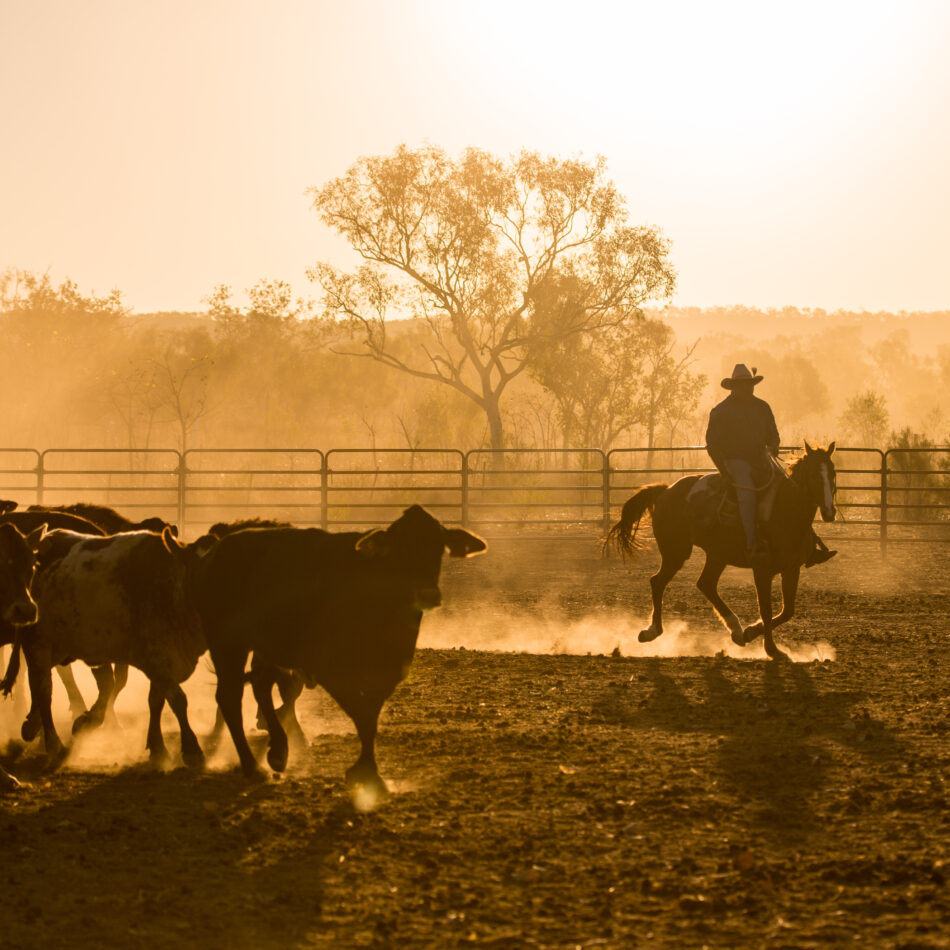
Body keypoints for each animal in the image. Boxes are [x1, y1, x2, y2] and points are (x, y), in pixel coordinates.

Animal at [196, 510, 488, 792]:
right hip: (228, 644)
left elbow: (370, 715)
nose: (427, 594)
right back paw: (251, 766)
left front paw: (369, 770)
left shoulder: (389, 672)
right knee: (230, 697)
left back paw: (278, 750)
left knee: (261, 685)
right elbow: (361, 714)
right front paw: (366, 770)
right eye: (401, 550)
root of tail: (218, 550)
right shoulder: (329, 670)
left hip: (267, 647)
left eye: (439, 548)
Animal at [608, 442, 840, 660]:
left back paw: (736, 630)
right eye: (813, 475)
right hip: (676, 552)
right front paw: (773, 650)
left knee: (705, 583)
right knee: (658, 582)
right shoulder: (761, 570)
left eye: (832, 473)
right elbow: (766, 610)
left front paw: (750, 632)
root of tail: (666, 490)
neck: (786, 513)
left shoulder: (792, 569)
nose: (829, 512)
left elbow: (787, 611)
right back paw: (652, 631)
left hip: (717, 555)